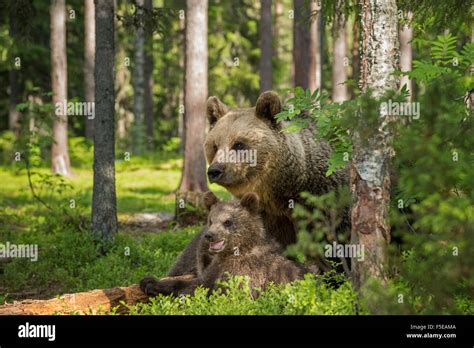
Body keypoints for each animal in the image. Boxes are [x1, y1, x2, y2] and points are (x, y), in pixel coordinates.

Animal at [140, 190, 314, 296]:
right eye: (211, 220)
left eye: (227, 222)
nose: (209, 235)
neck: (236, 250)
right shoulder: (215, 266)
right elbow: (200, 280)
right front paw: (149, 281)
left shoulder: (246, 272)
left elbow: (210, 289)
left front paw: (152, 284)